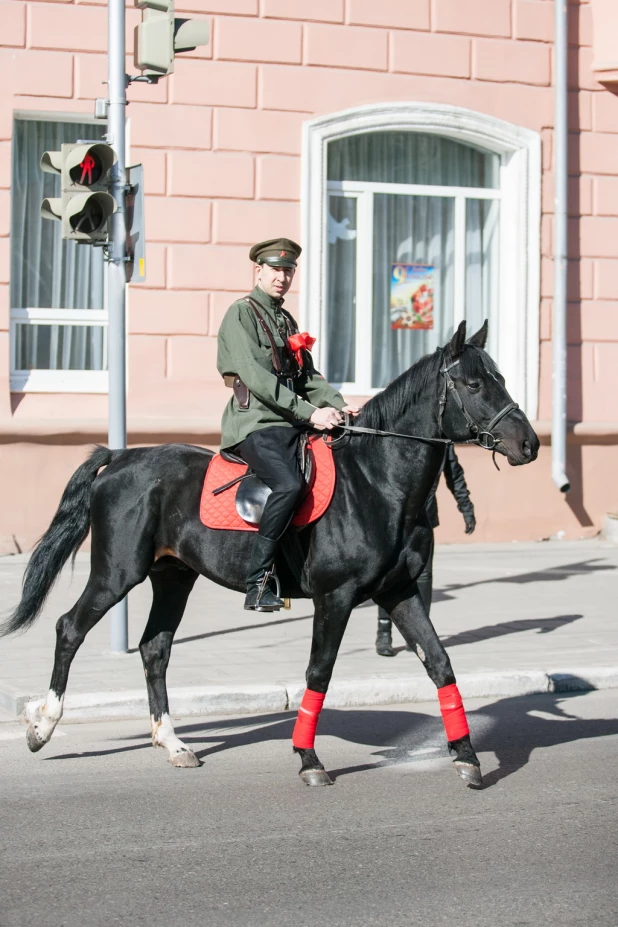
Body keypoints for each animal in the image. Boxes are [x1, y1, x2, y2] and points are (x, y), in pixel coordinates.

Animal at [2, 322, 536, 788]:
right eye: (474, 384)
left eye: (502, 379)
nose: (529, 444)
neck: (376, 482)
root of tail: (120, 456)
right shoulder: (336, 597)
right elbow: (320, 672)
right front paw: (308, 759)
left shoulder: (399, 592)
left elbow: (440, 663)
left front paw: (467, 757)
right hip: (117, 573)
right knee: (69, 629)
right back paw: (43, 725)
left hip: (173, 576)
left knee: (155, 649)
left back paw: (173, 743)